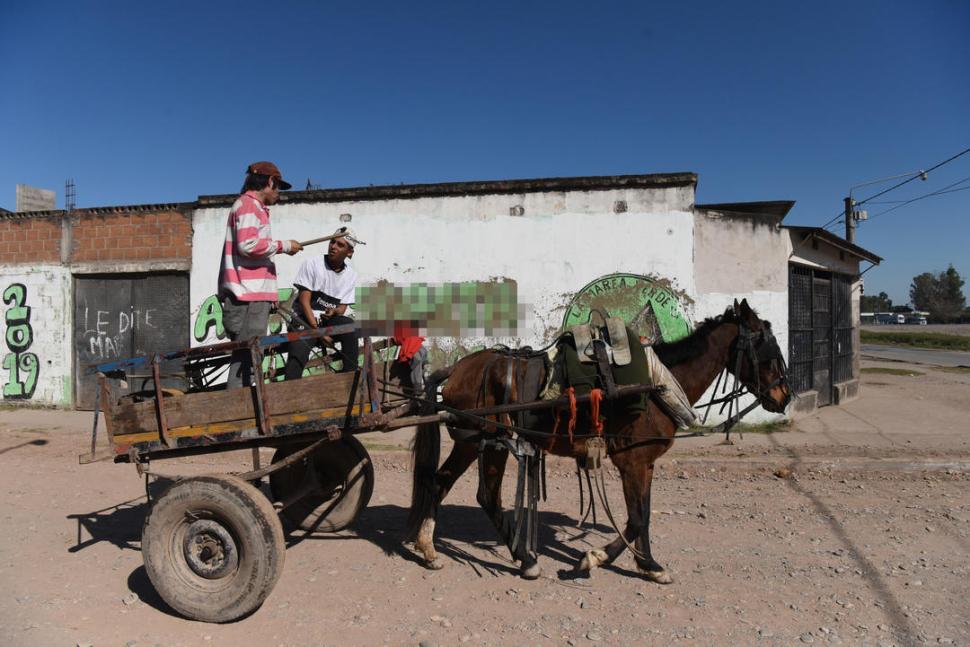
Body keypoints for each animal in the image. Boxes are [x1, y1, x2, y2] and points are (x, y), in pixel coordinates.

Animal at [400, 302, 788, 584]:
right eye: (765, 345)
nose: (784, 396)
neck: (657, 386)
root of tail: (456, 369)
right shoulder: (633, 460)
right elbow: (637, 518)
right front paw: (600, 559)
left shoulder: (644, 462)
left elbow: (642, 515)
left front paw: (644, 563)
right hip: (482, 441)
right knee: (472, 491)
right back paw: (509, 558)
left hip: (480, 442)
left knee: (458, 487)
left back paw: (447, 551)